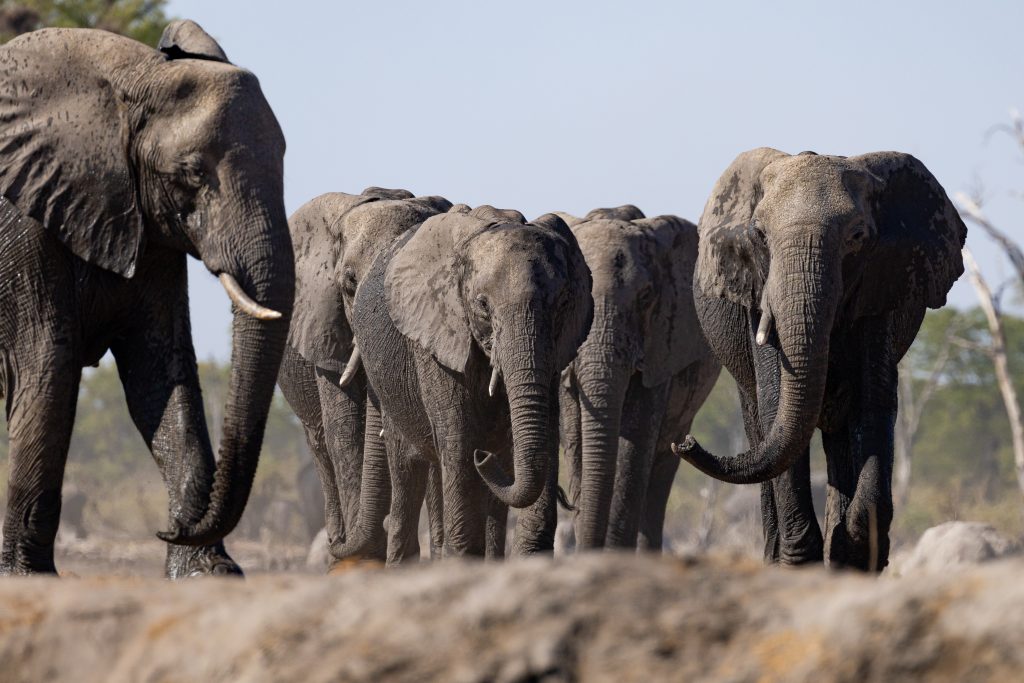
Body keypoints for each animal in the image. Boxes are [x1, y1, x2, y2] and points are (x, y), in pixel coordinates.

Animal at [0, 21, 295, 576]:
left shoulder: (149, 226)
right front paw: (28, 577)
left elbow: (161, 371)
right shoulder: (19, 228)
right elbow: (50, 366)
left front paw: (208, 573)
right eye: (193, 173)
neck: (129, 81)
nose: (167, 527)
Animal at [347, 204, 593, 559]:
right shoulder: (436, 341)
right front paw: (463, 557)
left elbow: (544, 436)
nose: (484, 457)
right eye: (482, 305)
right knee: (406, 470)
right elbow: (460, 444)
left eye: (561, 303)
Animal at [556, 206, 720, 551]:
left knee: (660, 473)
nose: (568, 503)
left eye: (645, 297)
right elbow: (576, 443)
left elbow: (634, 450)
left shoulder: (660, 347)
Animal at [675, 148, 966, 571]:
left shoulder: (882, 288)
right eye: (759, 236)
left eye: (858, 237)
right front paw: (800, 563)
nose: (685, 442)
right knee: (760, 432)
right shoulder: (756, 293)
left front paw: (854, 553)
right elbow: (776, 405)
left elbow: (873, 401)